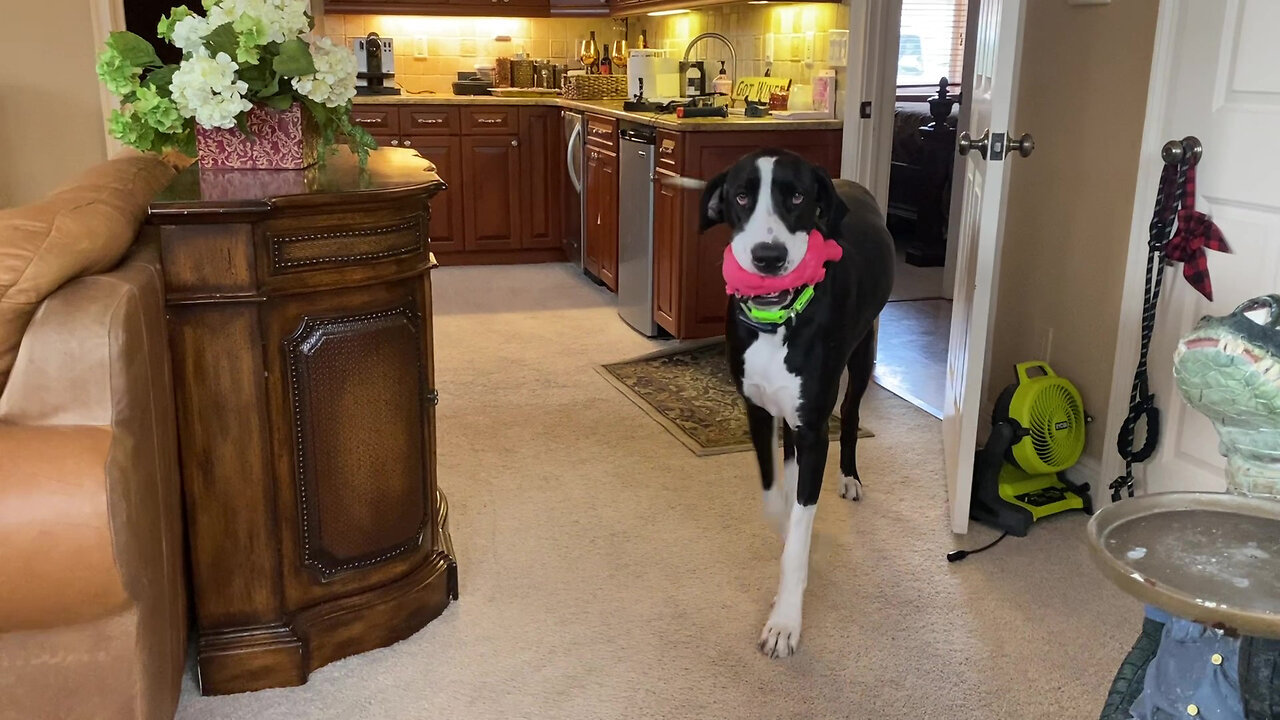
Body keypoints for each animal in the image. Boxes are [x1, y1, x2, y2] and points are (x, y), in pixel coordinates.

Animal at [701, 149, 890, 655]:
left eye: (799, 197)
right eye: (741, 196)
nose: (769, 257)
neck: (777, 318)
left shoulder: (816, 430)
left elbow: (802, 524)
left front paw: (785, 621)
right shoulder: (756, 409)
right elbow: (774, 495)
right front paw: (785, 524)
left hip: (863, 353)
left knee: (851, 417)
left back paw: (850, 478)